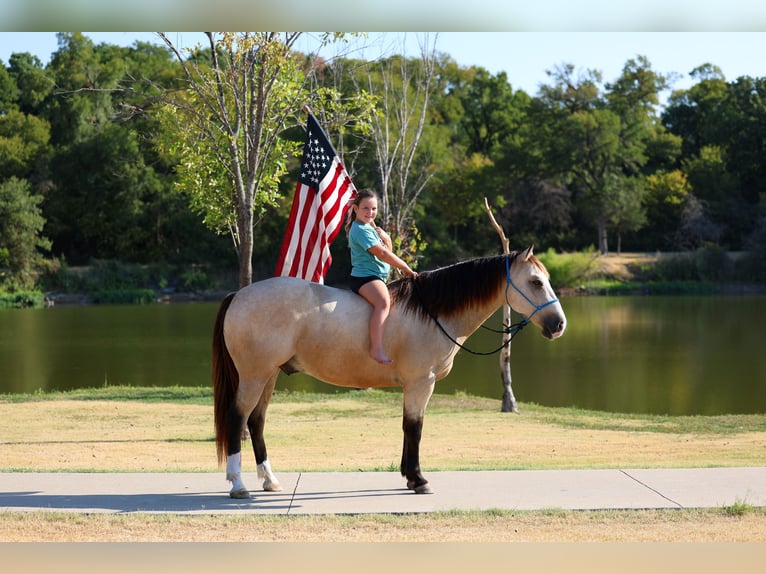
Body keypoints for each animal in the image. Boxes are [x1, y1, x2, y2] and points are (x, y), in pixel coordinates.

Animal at [211, 245, 566, 498]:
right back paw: (238, 484)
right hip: (254, 376)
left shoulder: (415, 385)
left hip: (269, 375)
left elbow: (409, 428)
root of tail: (239, 294)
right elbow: (415, 428)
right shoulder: (421, 383)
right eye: (536, 282)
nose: (559, 324)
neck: (431, 311)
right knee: (237, 417)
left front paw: (409, 477)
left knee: (256, 422)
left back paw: (269, 480)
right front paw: (418, 479)